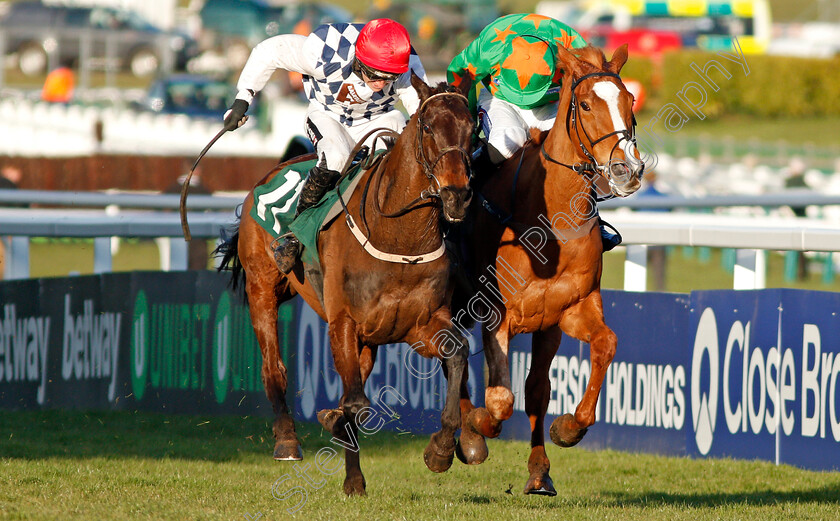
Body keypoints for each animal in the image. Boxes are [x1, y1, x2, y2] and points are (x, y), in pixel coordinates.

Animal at [217, 76, 476, 496]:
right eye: (427, 126)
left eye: (473, 128)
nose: (457, 194)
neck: (398, 238)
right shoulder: (343, 323)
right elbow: (357, 404)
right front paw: (354, 479)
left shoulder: (420, 325)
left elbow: (457, 354)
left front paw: (442, 449)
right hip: (262, 288)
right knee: (274, 368)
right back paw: (287, 440)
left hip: (368, 340)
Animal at [452, 43, 644, 492]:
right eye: (586, 104)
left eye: (630, 101)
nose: (627, 170)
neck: (552, 223)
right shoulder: (496, 313)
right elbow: (499, 400)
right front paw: (478, 424)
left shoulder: (567, 310)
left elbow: (600, 348)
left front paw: (568, 430)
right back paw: (465, 438)